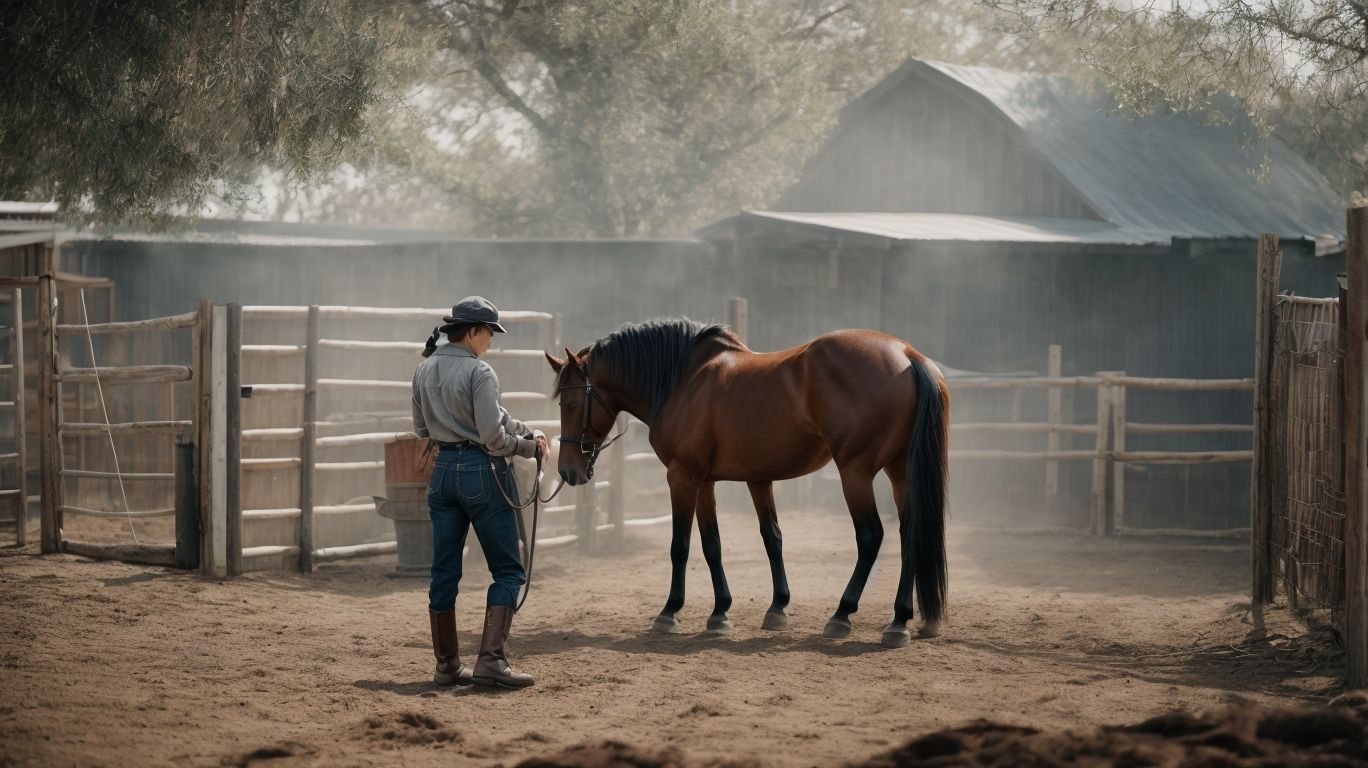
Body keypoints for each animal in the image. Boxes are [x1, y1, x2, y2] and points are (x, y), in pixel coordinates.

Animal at [543, 318, 949, 648]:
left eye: (572, 404)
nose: (568, 471)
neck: (684, 380)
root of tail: (908, 355)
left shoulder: (682, 476)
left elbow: (680, 546)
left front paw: (670, 611)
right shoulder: (721, 481)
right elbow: (736, 543)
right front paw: (735, 611)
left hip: (855, 472)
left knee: (870, 537)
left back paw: (842, 615)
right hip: (899, 471)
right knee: (910, 534)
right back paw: (900, 620)